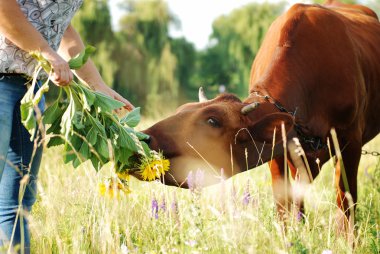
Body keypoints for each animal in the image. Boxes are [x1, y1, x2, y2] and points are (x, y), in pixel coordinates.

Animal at [141, 1, 378, 224]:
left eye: (212, 121)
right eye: (181, 109)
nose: (146, 138)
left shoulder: (350, 140)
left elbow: (345, 201)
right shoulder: (279, 150)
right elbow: (283, 204)